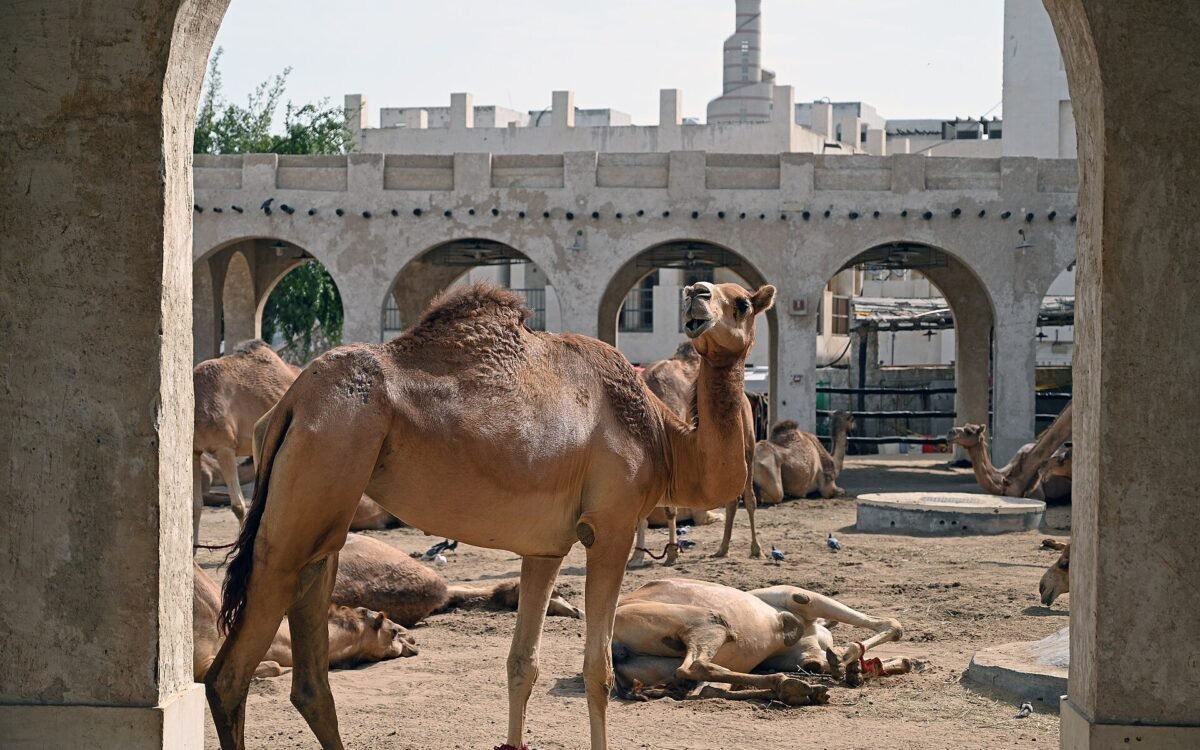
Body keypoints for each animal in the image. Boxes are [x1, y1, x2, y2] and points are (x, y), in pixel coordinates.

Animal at [612, 578, 915, 706]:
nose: (815, 664)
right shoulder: (801, 598)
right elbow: (893, 625)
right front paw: (846, 659)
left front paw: (854, 669)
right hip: (710, 622)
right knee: (693, 668)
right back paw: (797, 688)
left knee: (704, 688)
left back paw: (802, 691)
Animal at [630, 341, 759, 566]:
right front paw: (637, 557)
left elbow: (670, 507)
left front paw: (672, 554)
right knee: (731, 497)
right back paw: (722, 549)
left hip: (747, 441)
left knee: (749, 496)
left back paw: (755, 549)